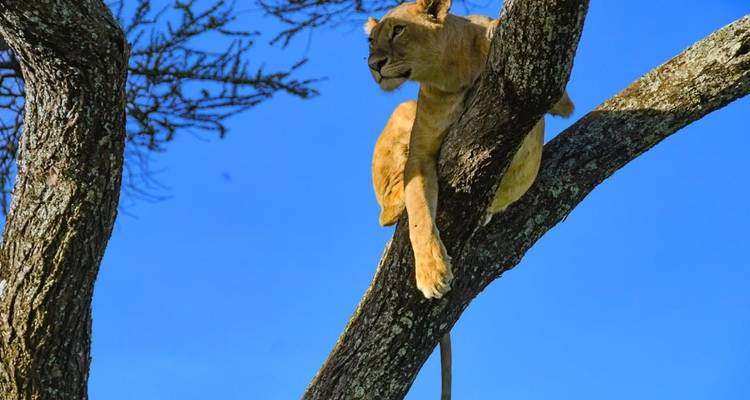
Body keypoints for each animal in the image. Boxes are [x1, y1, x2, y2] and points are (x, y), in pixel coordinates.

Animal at [366, 0, 574, 300]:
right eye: (371, 41)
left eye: (398, 30)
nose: (374, 65)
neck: (450, 73)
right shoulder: (419, 156)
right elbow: (418, 215)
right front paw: (432, 273)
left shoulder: (551, 99)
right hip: (402, 110)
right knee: (386, 213)